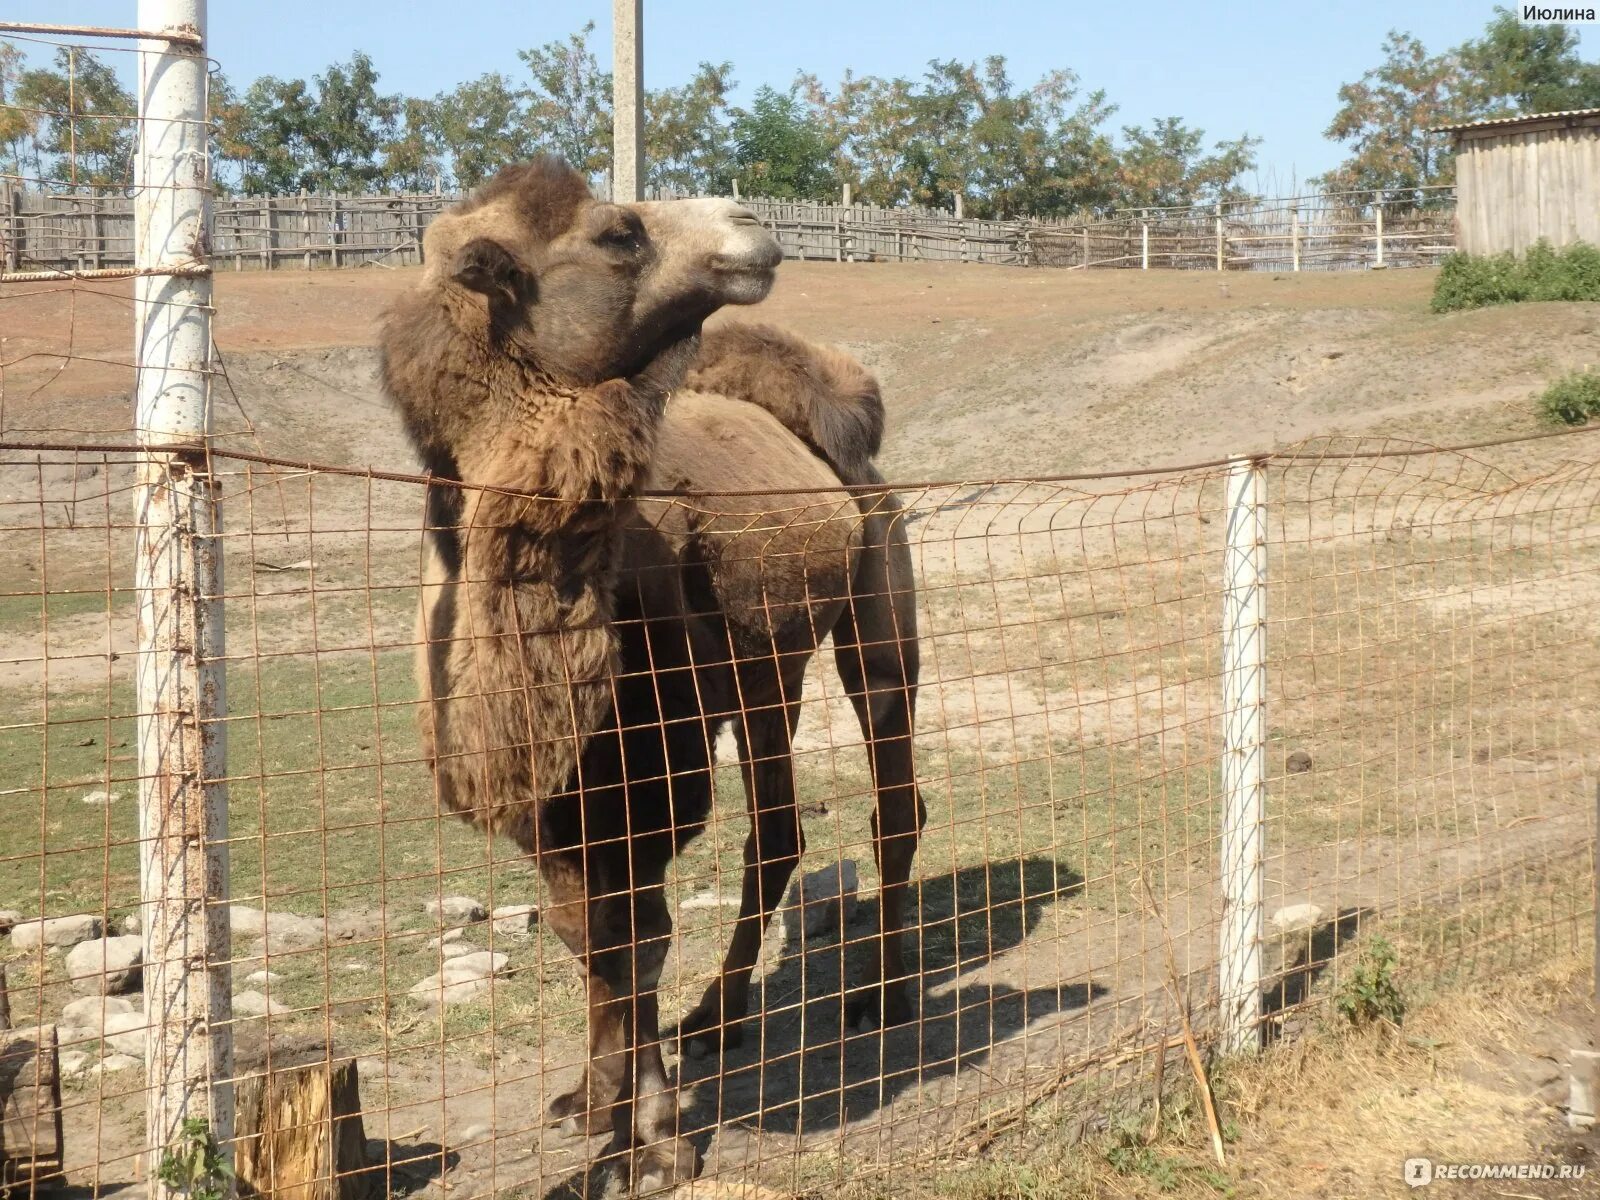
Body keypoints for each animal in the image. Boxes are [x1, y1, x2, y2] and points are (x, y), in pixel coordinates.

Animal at [377, 160, 928, 1196]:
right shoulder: (548, 793)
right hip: (765, 667)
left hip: (876, 606)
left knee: (890, 797)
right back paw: (719, 1016)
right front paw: (593, 1103)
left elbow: (637, 937)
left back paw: (885, 995)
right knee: (778, 831)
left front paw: (658, 1141)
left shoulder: (653, 767)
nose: (750, 222)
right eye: (616, 234)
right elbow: (580, 930)